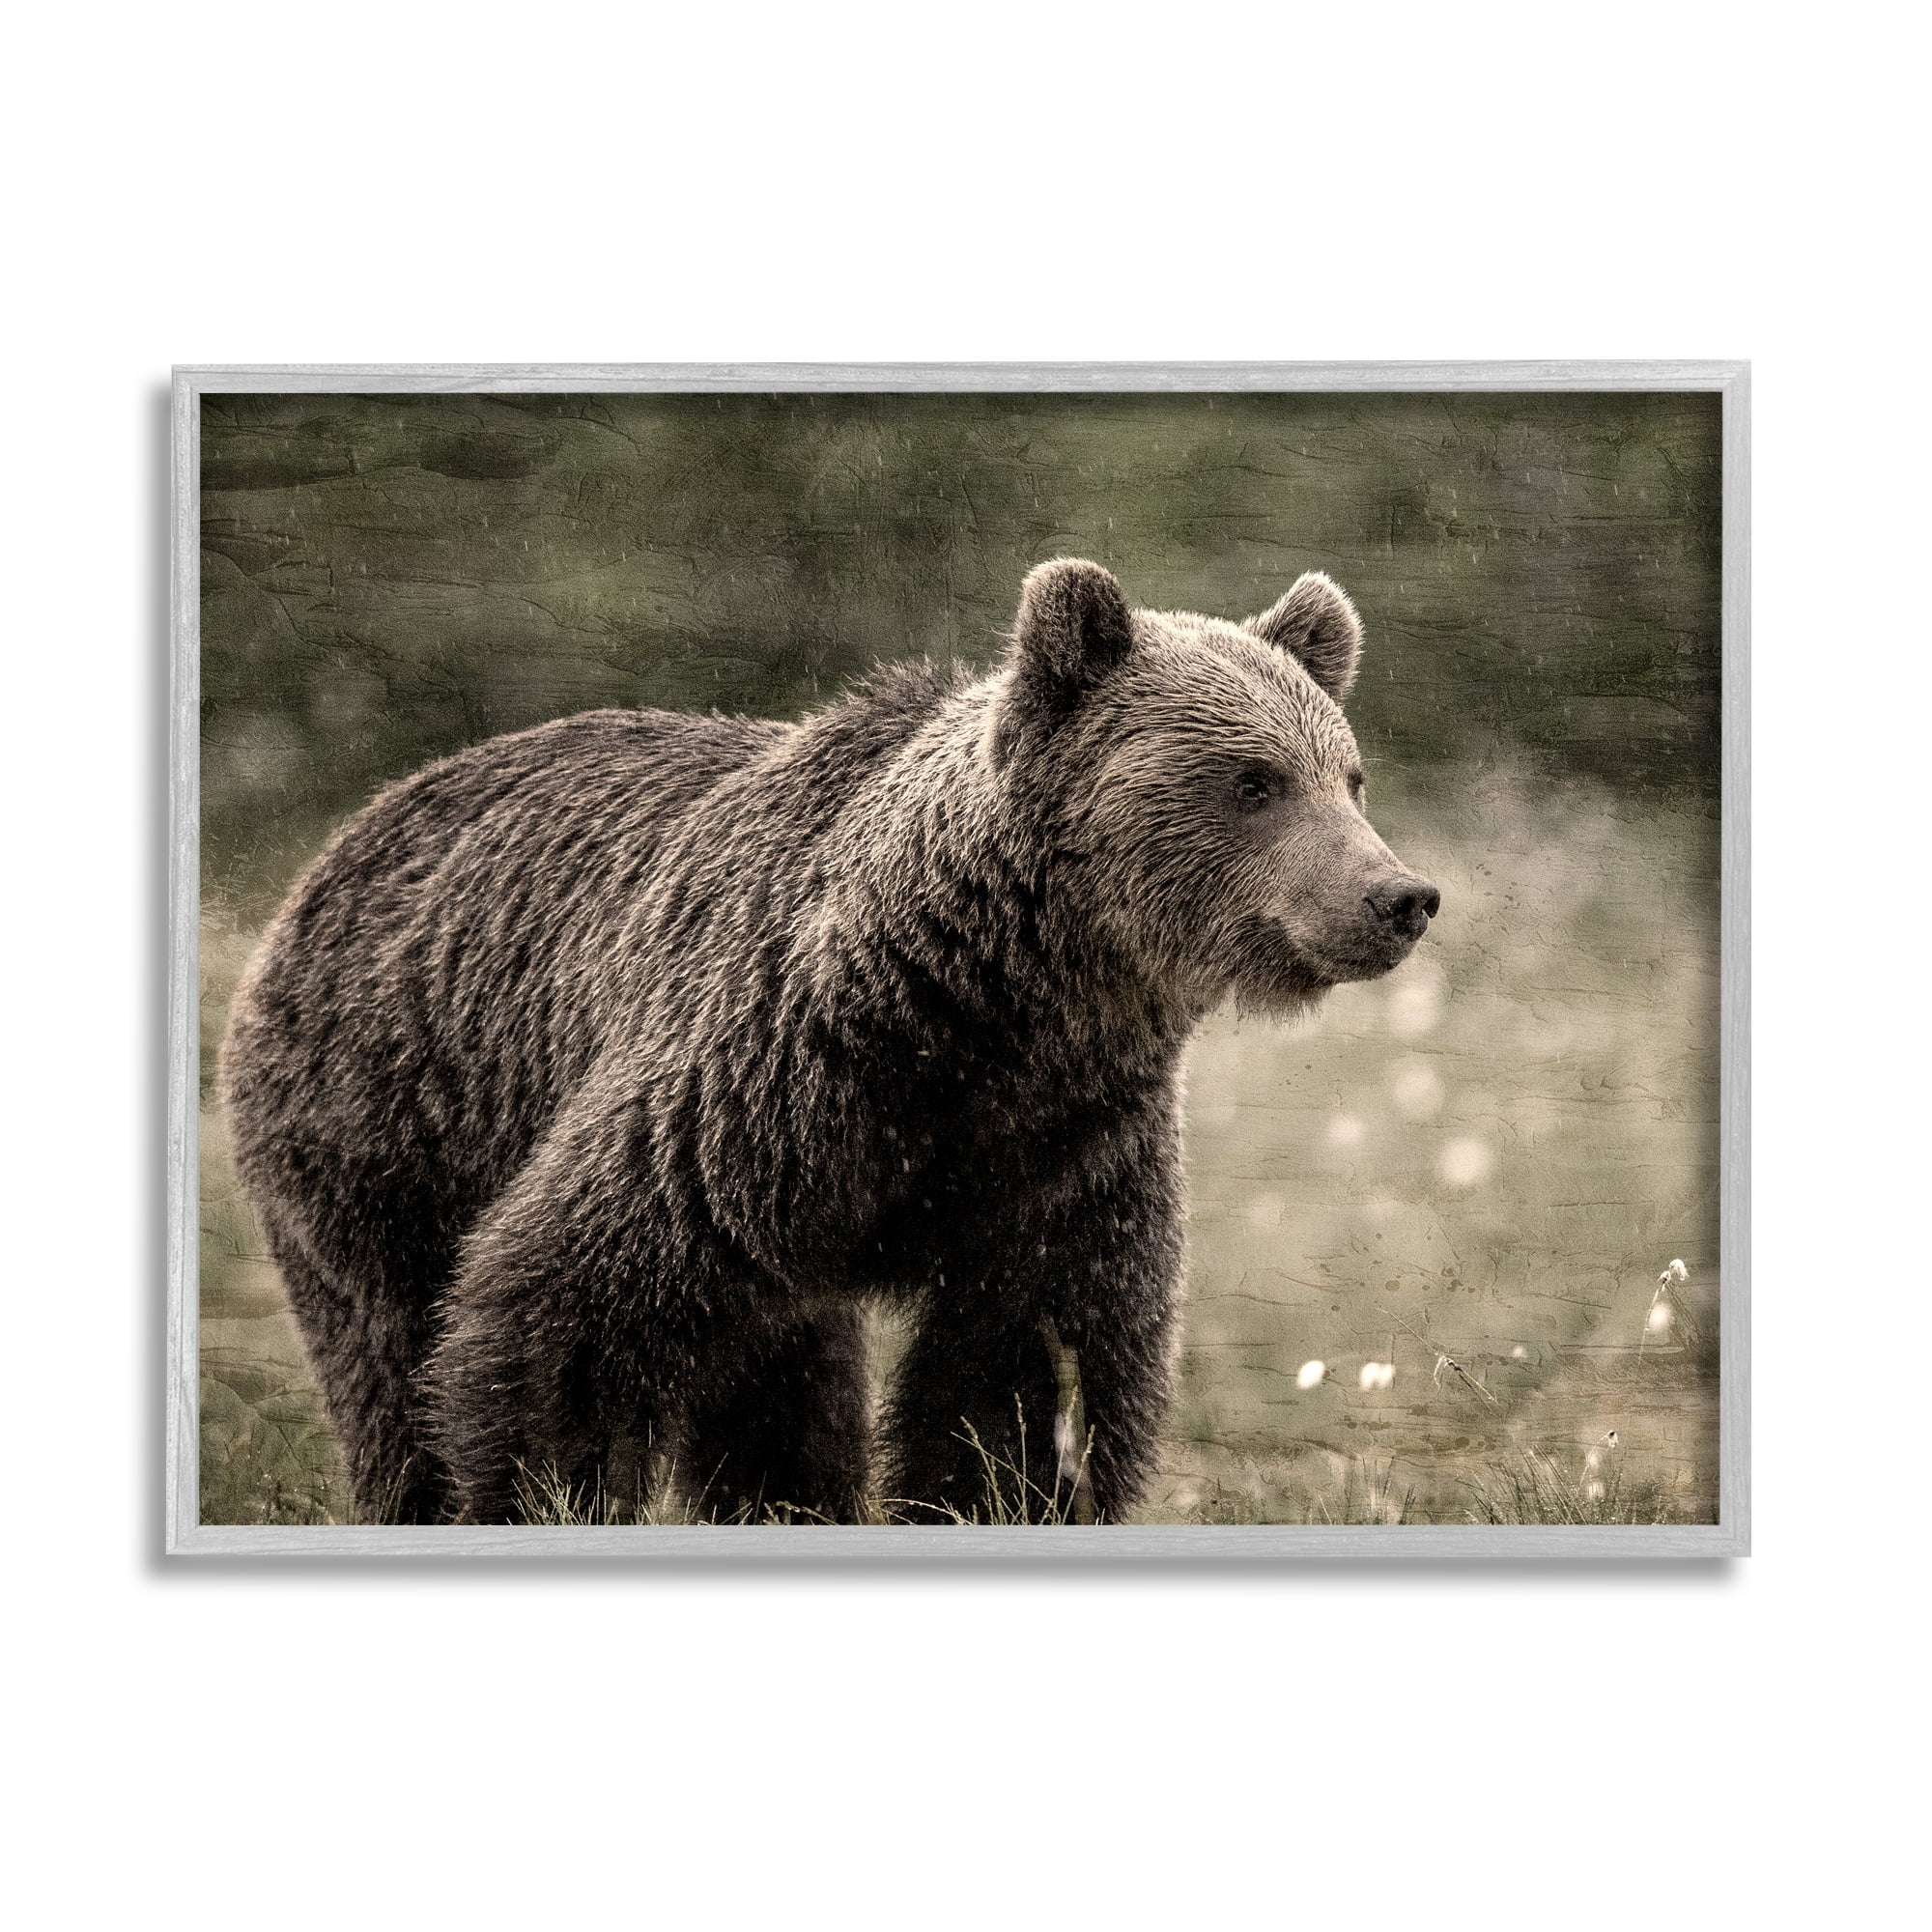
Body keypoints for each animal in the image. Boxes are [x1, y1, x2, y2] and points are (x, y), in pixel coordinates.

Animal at [221, 559, 1440, 1525]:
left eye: (1348, 774)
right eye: (1252, 779)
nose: (1397, 896)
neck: (993, 1007)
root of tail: (350, 831)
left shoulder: (1065, 1145)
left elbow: (1023, 1370)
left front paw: (997, 1495)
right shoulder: (761, 1086)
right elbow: (563, 1310)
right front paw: (542, 1492)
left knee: (780, 1381)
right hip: (387, 1119)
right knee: (391, 1349)